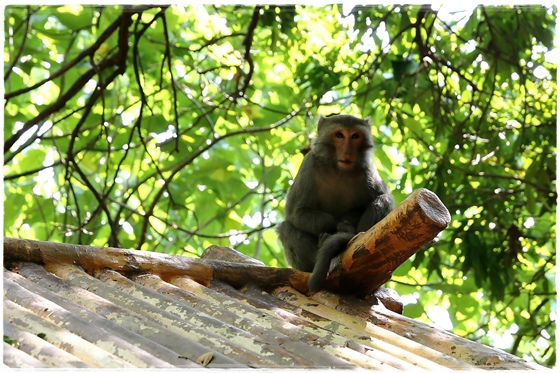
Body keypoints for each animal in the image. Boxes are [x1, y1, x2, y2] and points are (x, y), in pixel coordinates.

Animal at [276, 112, 394, 290]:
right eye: (339, 135)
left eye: (355, 136)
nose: (348, 151)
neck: (339, 170)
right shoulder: (309, 164)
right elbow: (295, 212)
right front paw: (334, 225)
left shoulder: (367, 169)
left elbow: (383, 197)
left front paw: (346, 226)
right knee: (285, 228)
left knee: (383, 200)